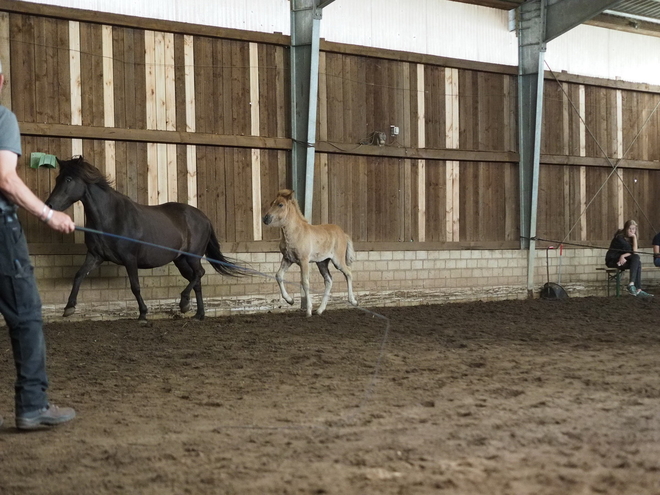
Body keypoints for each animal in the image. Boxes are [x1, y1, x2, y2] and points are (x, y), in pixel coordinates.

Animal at [45, 157, 245, 324]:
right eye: (57, 179)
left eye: (68, 180)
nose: (49, 205)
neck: (111, 217)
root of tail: (204, 218)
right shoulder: (95, 256)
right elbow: (79, 275)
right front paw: (69, 307)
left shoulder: (129, 258)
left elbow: (135, 286)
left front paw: (142, 314)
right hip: (180, 260)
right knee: (196, 280)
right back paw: (198, 314)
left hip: (192, 256)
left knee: (199, 274)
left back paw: (184, 303)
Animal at [262, 190, 358, 318]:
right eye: (272, 203)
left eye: (280, 204)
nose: (265, 218)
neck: (295, 233)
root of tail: (344, 233)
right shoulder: (288, 259)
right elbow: (279, 275)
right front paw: (290, 300)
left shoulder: (304, 261)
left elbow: (305, 282)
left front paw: (308, 311)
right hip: (322, 262)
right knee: (329, 280)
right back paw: (320, 310)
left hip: (338, 260)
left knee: (348, 273)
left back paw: (353, 301)